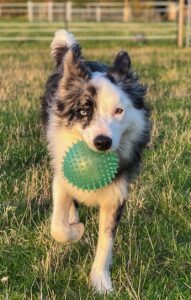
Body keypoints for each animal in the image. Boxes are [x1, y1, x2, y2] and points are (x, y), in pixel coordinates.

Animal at [40, 29, 151, 292]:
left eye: (119, 111)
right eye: (83, 111)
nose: (103, 142)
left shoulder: (116, 194)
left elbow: (106, 243)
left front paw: (101, 282)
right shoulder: (60, 177)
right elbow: (58, 227)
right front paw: (76, 230)